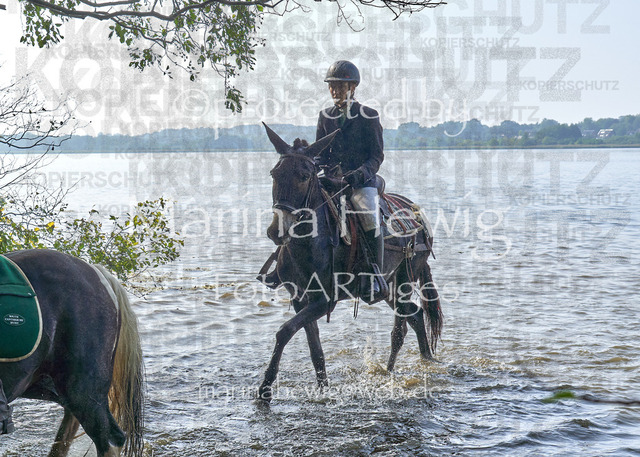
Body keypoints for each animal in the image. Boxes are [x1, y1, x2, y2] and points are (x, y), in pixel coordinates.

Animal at [257, 124, 443, 402]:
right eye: (274, 173)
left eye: (304, 175)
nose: (276, 231)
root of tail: (417, 214)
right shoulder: (300, 298)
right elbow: (315, 349)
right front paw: (323, 389)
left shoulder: (325, 300)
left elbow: (285, 331)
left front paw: (266, 389)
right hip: (389, 287)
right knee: (416, 316)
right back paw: (423, 361)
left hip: (405, 279)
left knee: (400, 330)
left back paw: (392, 372)